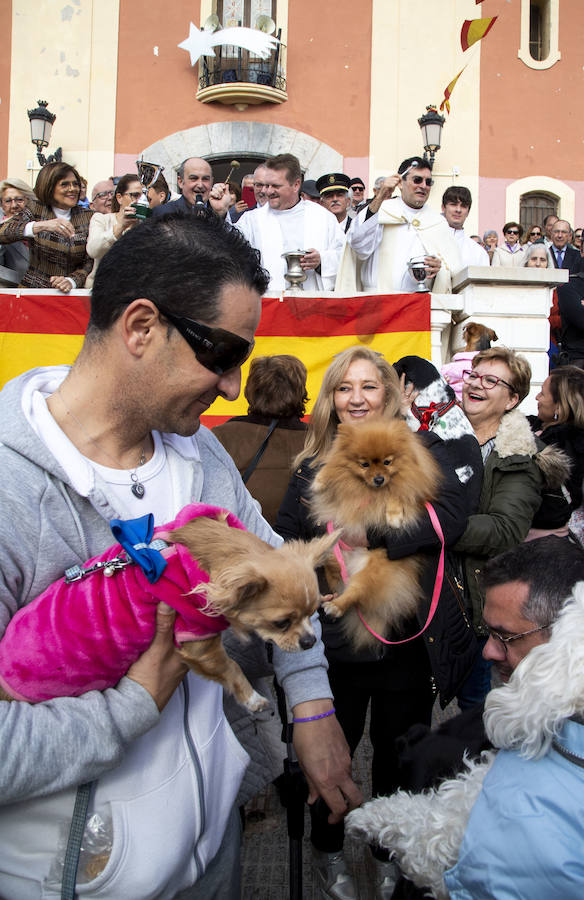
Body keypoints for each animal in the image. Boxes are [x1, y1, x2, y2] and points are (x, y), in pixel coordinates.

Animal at [0, 502, 338, 712]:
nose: (310, 641)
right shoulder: (197, 642)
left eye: (313, 612)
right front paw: (252, 699)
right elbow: (231, 668)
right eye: (281, 623)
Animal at [312, 420, 440, 648]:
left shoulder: (412, 489)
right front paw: (319, 480)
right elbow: (331, 467)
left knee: (356, 592)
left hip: (376, 569)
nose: (379, 479)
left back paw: (337, 605)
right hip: (334, 557)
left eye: (388, 462)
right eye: (364, 465)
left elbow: (397, 494)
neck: (371, 490)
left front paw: (394, 516)